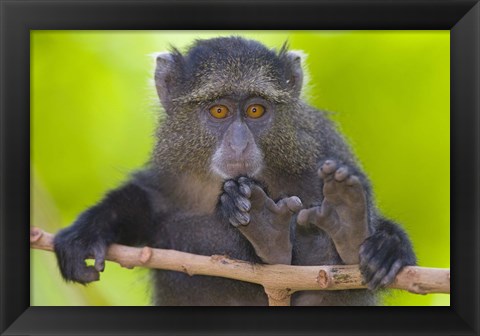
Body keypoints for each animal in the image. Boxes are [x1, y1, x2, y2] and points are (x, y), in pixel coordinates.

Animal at [53, 37, 416, 308]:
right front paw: (85, 235)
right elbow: (145, 201)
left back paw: (344, 230)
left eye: (255, 110)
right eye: (219, 111)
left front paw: (387, 246)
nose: (239, 144)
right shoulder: (170, 175)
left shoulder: (324, 151)